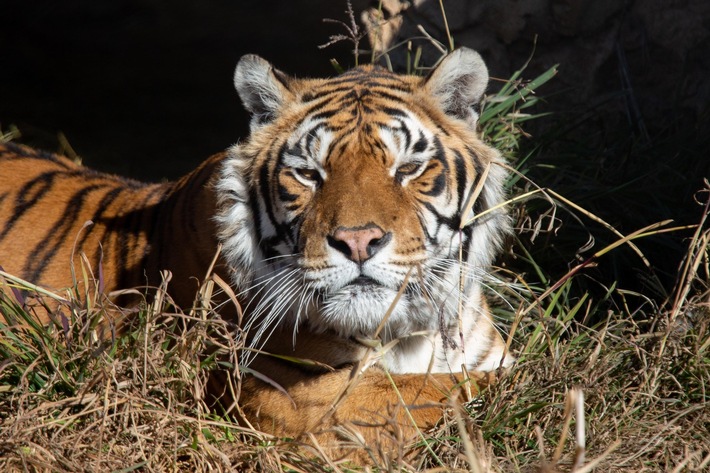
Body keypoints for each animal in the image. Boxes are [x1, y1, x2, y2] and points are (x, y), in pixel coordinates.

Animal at [0, 47, 513, 460]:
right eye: (308, 174)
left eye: (408, 168)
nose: (358, 241)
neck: (410, 335)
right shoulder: (303, 402)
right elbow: (450, 388)